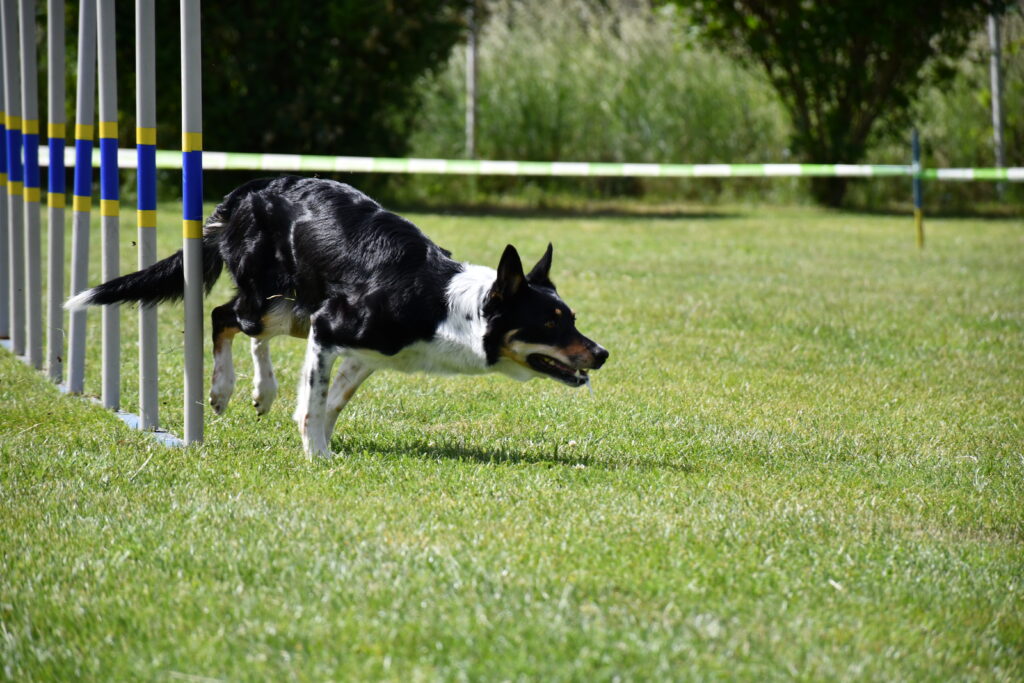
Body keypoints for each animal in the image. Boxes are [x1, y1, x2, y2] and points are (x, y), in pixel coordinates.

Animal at [70, 175, 606, 458]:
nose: (601, 354)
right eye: (551, 322)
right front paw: (318, 455)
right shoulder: (330, 329)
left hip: (296, 309)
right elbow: (316, 399)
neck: (447, 307)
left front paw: (318, 437)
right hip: (271, 298)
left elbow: (333, 398)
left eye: (573, 317)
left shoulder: (363, 350)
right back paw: (227, 388)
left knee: (242, 325)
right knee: (227, 315)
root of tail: (249, 189)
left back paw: (262, 392)